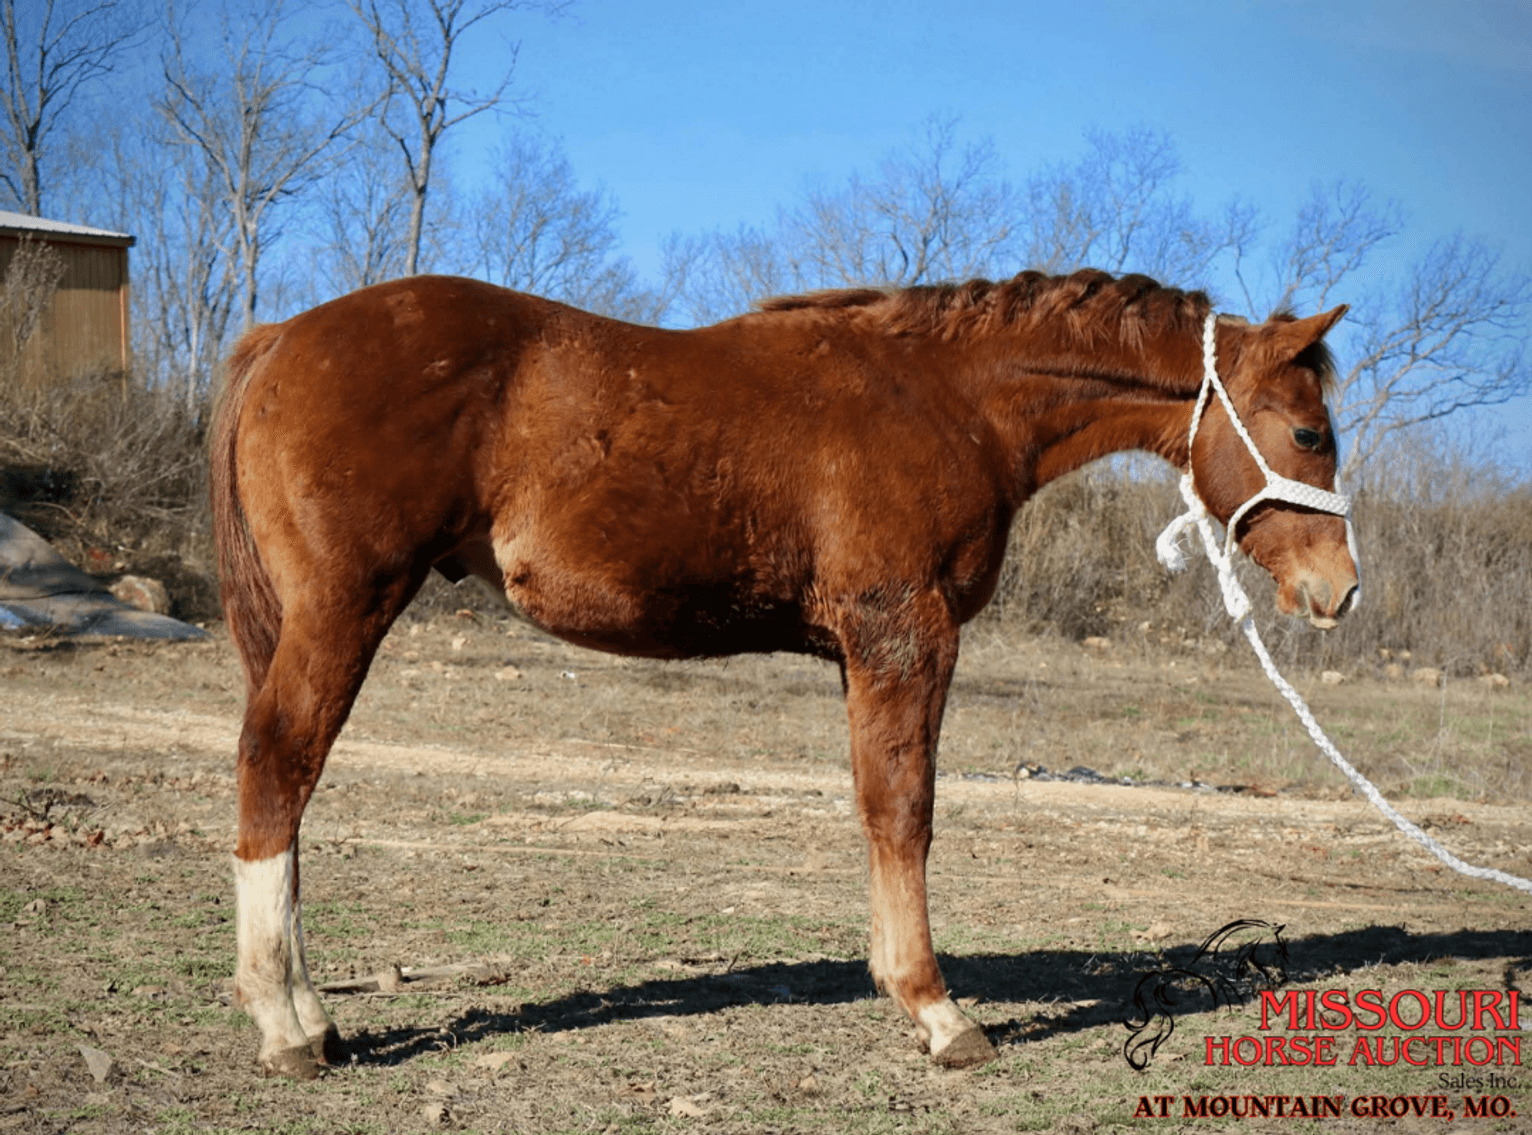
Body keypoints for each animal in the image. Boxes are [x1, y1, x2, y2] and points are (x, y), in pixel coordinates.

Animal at [210, 268, 1358, 1079]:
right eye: (1308, 429)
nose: (1339, 590)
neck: (946, 399)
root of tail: (279, 339)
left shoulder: (865, 654)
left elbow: (875, 807)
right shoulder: (905, 635)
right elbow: (903, 809)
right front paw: (937, 1011)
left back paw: (312, 1016)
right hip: (342, 611)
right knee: (277, 767)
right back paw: (288, 1026)